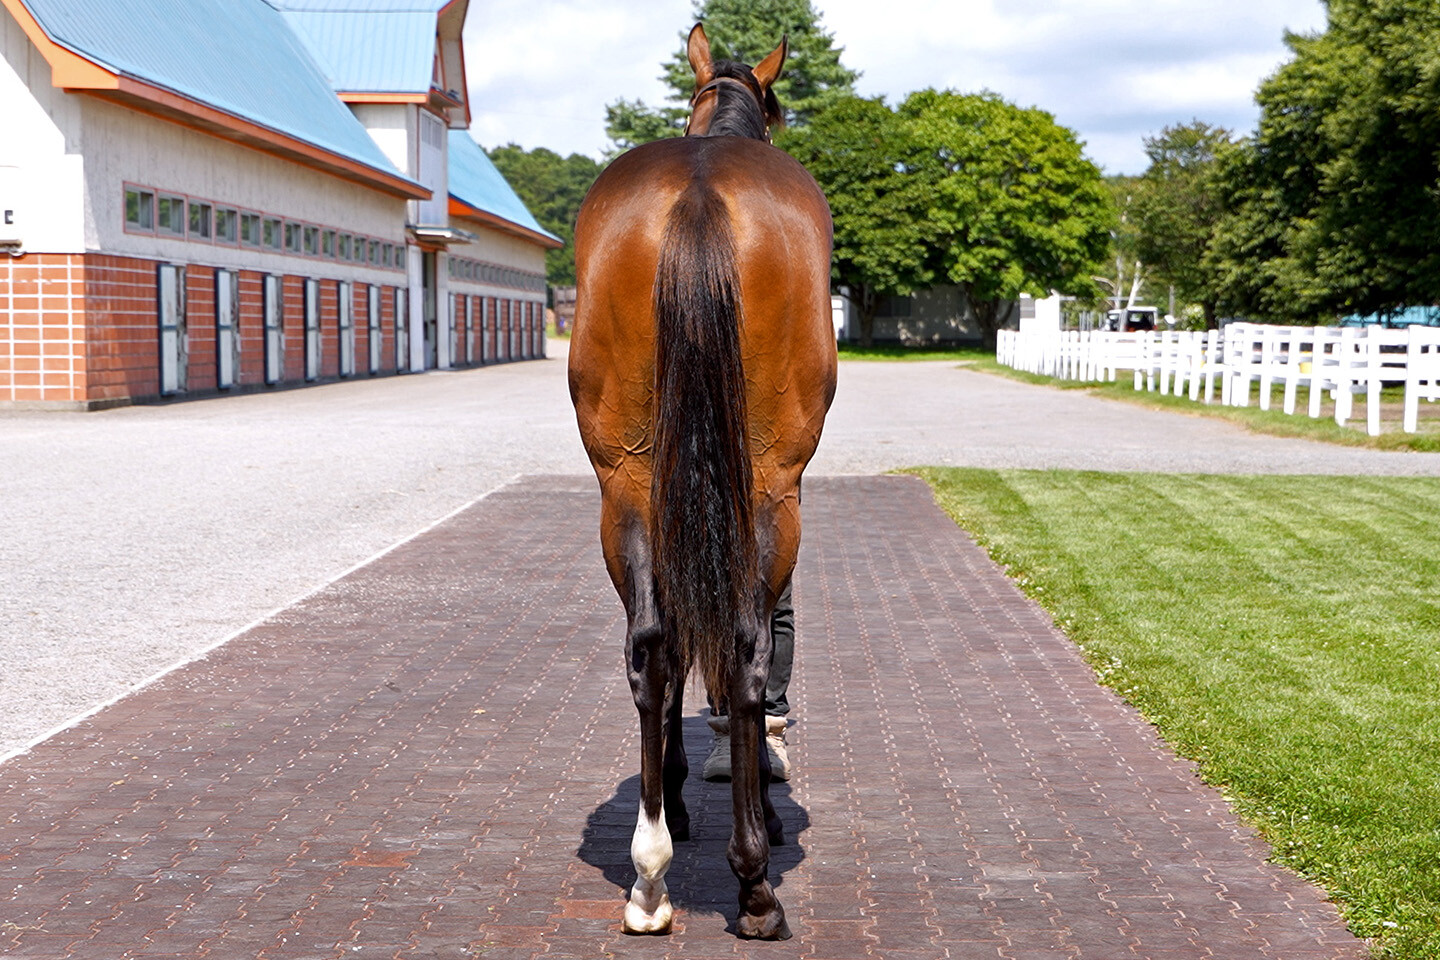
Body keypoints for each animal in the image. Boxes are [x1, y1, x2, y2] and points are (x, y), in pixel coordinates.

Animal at [568, 22, 836, 941]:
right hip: (771, 490)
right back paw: (755, 884)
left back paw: (650, 875)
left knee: (653, 648)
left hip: (626, 481)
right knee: (748, 650)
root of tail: (698, 194)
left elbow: (676, 638)